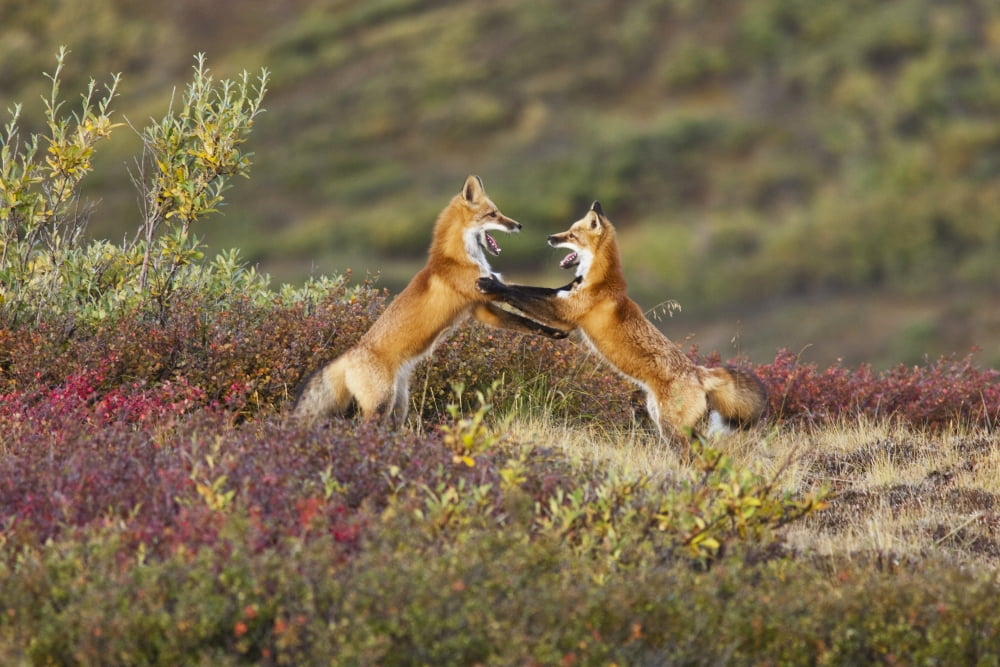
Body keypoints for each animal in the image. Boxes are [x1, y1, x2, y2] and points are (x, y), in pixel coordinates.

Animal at [293, 175, 570, 427]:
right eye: (493, 214)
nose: (519, 225)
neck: (457, 258)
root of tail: (348, 355)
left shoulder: (481, 309)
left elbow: (525, 320)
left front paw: (554, 332)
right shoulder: (483, 293)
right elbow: (524, 292)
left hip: (399, 406)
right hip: (381, 406)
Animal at [476, 201, 767, 453]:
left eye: (571, 234)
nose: (550, 237)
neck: (597, 280)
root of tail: (699, 372)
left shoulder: (565, 312)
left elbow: (519, 292)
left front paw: (492, 284)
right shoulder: (561, 296)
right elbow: (526, 291)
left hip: (671, 430)